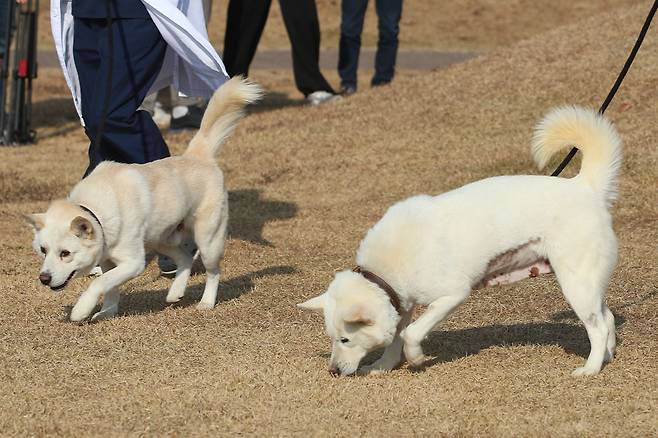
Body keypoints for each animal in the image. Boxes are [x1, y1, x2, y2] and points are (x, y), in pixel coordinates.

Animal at [25, 76, 262, 322]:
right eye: (43, 250)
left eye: (65, 253)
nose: (44, 278)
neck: (96, 211)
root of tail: (198, 155)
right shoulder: (108, 260)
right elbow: (110, 287)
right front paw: (107, 312)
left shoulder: (133, 263)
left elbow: (99, 283)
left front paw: (81, 310)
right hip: (162, 238)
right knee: (184, 259)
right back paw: (176, 292)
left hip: (208, 240)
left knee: (213, 271)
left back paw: (206, 302)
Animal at [298, 106, 620, 376]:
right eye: (332, 338)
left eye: (345, 339)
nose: (333, 371)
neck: (384, 270)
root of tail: (584, 186)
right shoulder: (401, 303)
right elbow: (395, 339)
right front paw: (382, 366)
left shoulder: (452, 295)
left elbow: (410, 333)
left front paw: (416, 358)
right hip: (587, 284)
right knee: (607, 318)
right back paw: (606, 357)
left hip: (574, 282)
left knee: (598, 328)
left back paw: (590, 369)